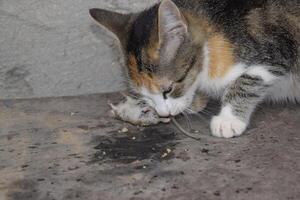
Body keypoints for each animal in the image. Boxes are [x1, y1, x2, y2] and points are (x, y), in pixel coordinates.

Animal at [89, 0, 300, 138]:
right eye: (142, 95)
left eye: (168, 89)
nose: (164, 114)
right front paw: (196, 101)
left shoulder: (274, 47)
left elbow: (248, 80)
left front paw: (229, 119)